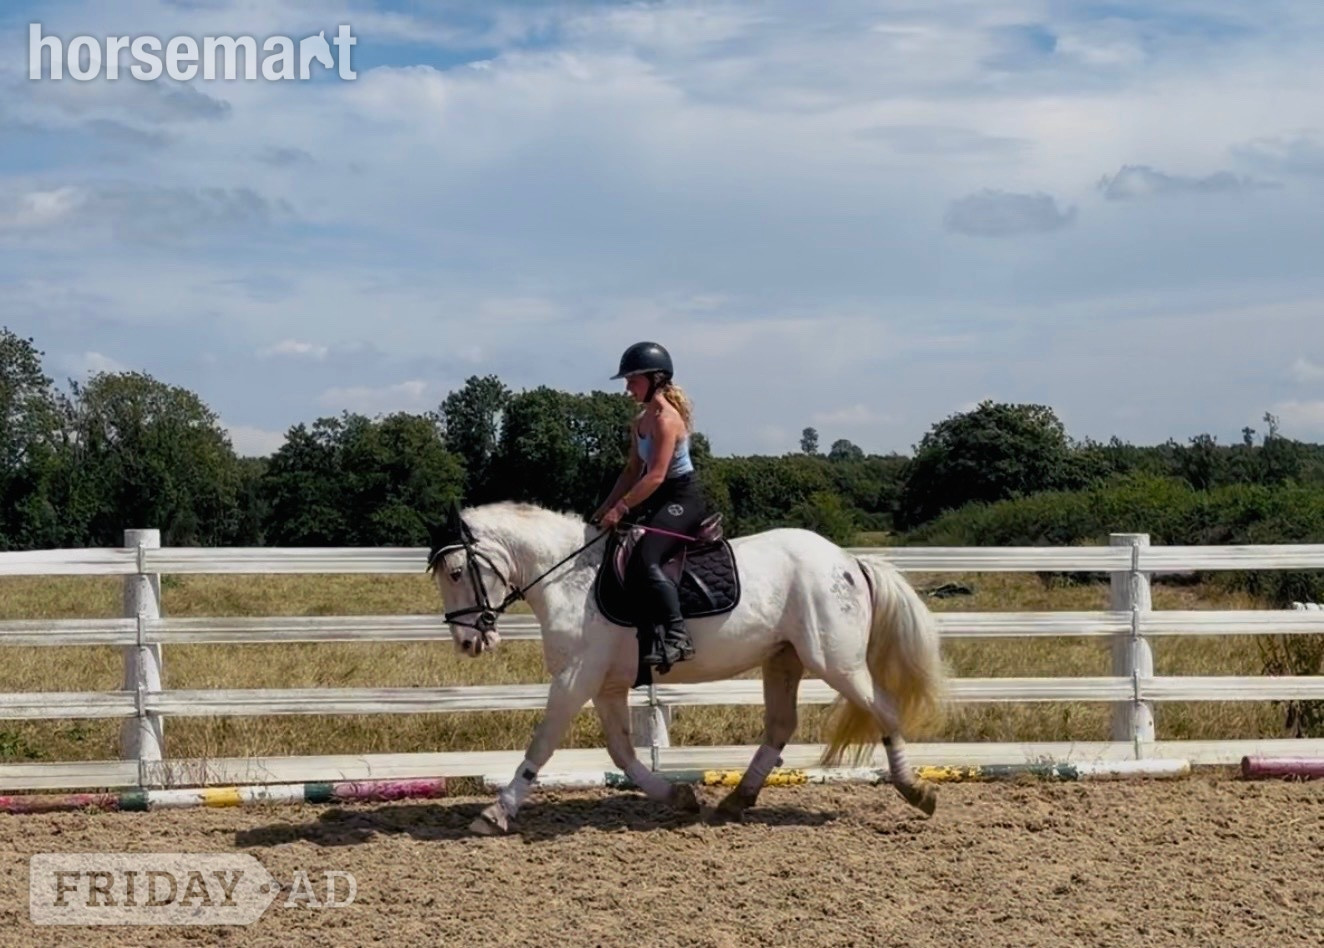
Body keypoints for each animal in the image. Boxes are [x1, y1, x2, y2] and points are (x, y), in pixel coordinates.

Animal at [426, 499, 946, 835]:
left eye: (456, 572)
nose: (468, 641)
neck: (569, 578)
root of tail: (847, 561)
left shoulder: (575, 678)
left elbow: (543, 743)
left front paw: (496, 813)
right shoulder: (606, 685)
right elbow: (622, 753)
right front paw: (677, 796)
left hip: (835, 662)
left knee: (884, 708)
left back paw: (916, 791)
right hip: (784, 659)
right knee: (781, 725)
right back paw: (736, 801)